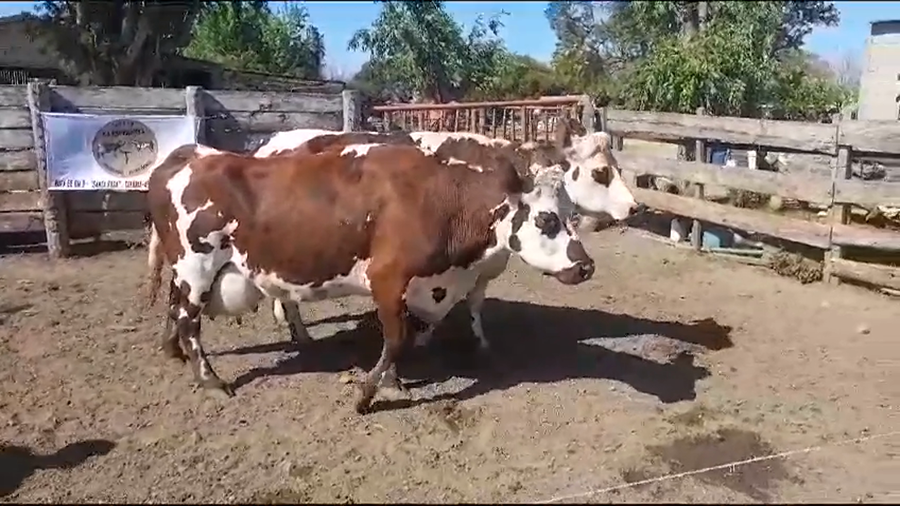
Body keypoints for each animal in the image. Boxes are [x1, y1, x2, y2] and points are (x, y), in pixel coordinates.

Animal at [146, 141, 596, 414]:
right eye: (547, 218)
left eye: (573, 213)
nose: (587, 266)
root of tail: (189, 155)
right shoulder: (387, 277)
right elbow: (397, 339)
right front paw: (367, 393)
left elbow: (398, 337)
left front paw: (390, 381)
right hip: (196, 267)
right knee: (188, 321)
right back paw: (209, 379)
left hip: (186, 272)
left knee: (173, 304)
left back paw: (172, 351)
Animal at [251, 121, 639, 351]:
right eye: (601, 172)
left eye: (619, 167)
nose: (635, 207)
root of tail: (273, 140)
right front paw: (424, 336)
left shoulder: (483, 267)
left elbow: (474, 302)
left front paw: (479, 339)